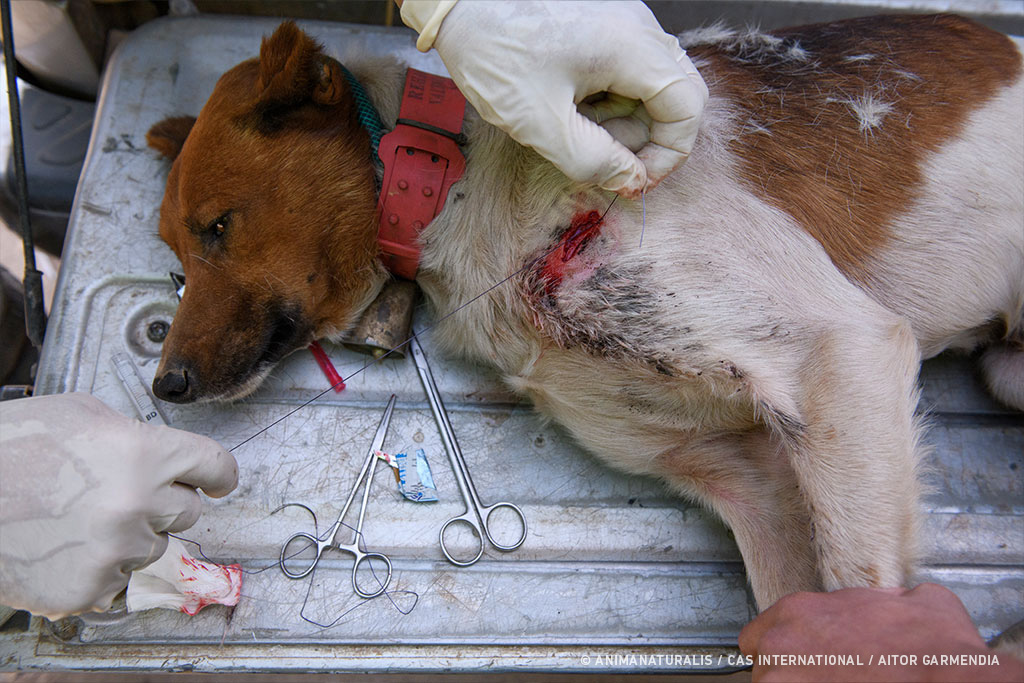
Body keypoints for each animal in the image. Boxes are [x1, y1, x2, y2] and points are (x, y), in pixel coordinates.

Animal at [146, 13, 1024, 610]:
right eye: (175, 262)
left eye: (218, 225)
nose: (166, 387)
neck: (460, 173)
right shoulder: (747, 473)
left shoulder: (841, 350)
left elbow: (856, 588)